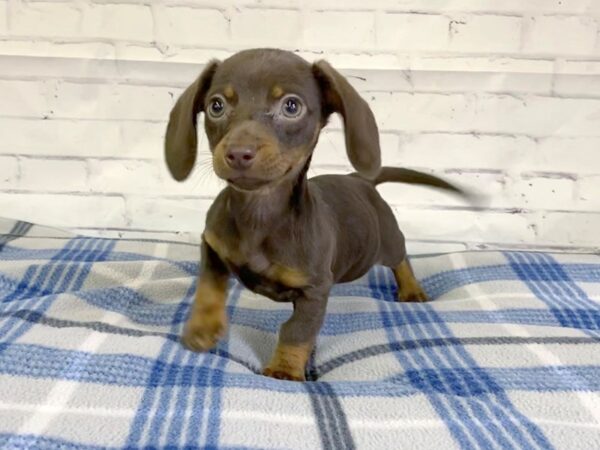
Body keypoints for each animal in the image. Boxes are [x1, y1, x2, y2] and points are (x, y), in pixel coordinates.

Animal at [164, 48, 464, 380]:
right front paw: (202, 327)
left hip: (382, 244)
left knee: (401, 257)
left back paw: (411, 289)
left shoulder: (315, 291)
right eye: (216, 105)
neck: (259, 214)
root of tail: (361, 180)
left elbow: (297, 330)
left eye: (291, 106)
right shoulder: (213, 244)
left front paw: (284, 370)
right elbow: (208, 284)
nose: (238, 153)